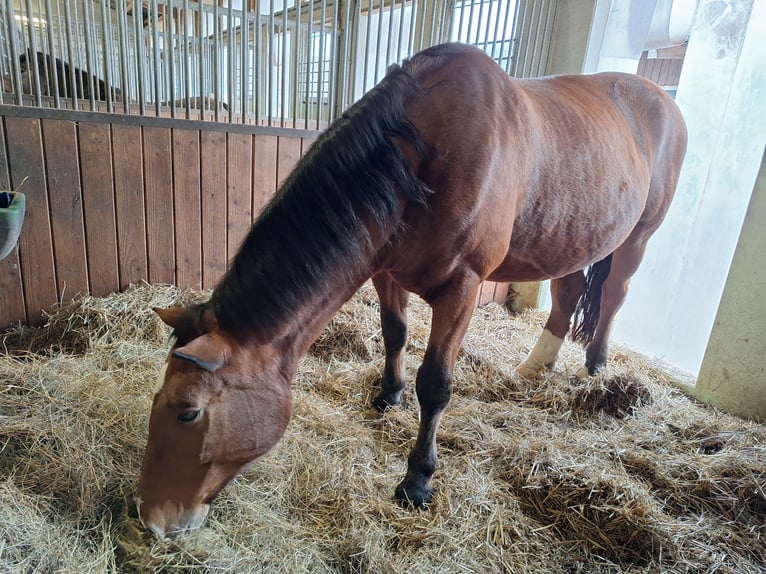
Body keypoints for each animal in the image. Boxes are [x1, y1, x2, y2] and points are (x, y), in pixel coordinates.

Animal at [140, 41, 688, 540]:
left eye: (188, 413)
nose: (153, 520)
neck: (423, 153)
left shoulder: (464, 288)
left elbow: (436, 383)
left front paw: (418, 480)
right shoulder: (384, 270)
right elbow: (394, 334)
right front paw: (389, 395)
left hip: (637, 238)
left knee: (613, 295)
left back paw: (595, 367)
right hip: (570, 236)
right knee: (570, 292)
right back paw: (536, 368)